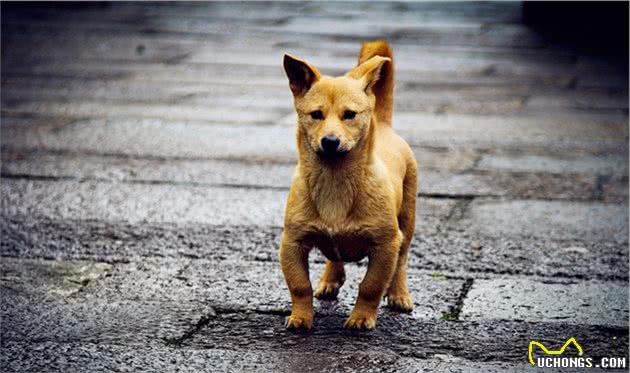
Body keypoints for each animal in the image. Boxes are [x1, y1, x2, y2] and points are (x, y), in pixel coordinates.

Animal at [282, 40, 420, 328]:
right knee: (335, 256)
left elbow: (371, 286)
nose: (330, 141)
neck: (335, 177)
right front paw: (301, 317)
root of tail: (385, 126)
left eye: (350, 115)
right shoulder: (291, 242)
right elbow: (299, 285)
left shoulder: (386, 245)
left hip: (407, 219)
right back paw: (329, 280)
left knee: (402, 260)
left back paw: (399, 294)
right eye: (316, 115)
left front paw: (361, 318)